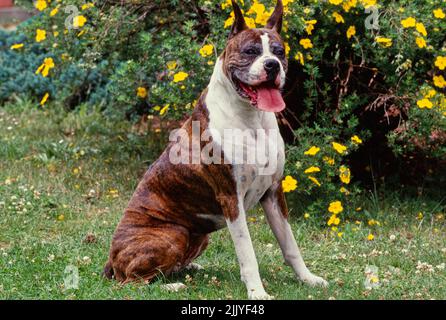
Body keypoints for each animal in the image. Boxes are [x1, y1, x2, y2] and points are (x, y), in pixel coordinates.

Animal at [103, 0, 328, 300]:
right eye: (250, 51)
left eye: (279, 52)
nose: (272, 65)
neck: (252, 118)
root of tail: (111, 258)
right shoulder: (231, 198)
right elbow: (248, 254)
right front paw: (257, 292)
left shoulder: (273, 193)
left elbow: (290, 245)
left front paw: (308, 279)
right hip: (173, 234)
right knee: (131, 282)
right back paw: (173, 285)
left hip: (200, 236)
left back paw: (188, 268)